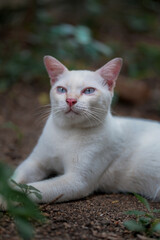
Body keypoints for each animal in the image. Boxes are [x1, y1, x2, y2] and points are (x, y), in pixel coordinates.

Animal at [10, 55, 160, 202]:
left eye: (88, 91)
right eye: (61, 90)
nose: (70, 100)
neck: (67, 132)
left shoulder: (77, 181)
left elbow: (31, 189)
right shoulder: (34, 162)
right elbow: (14, 178)